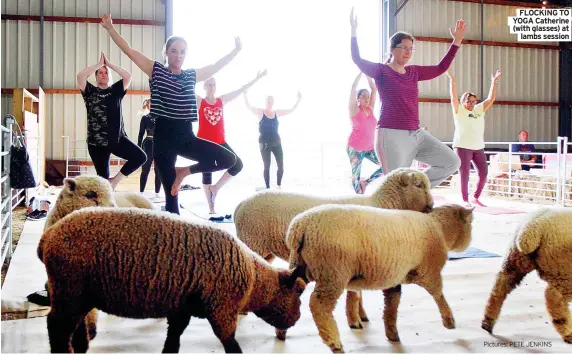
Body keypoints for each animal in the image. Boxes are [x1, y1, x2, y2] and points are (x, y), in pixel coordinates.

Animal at [38, 207, 306, 354]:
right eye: (298, 293)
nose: (296, 320)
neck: (254, 282)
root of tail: (48, 236)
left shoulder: (182, 306)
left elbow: (174, 339)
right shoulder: (222, 308)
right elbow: (229, 343)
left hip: (78, 293)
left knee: (75, 324)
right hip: (69, 288)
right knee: (57, 326)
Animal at [232, 167, 434, 328]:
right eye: (419, 185)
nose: (432, 206)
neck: (381, 203)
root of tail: (240, 204)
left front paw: (362, 315)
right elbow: (355, 293)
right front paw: (355, 321)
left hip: (263, 249)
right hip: (252, 241)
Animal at [286, 203, 474, 352]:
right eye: (470, 223)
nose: (469, 243)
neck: (439, 228)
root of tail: (299, 227)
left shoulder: (395, 277)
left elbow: (392, 304)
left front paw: (392, 333)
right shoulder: (429, 272)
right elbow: (438, 294)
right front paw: (449, 320)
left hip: (308, 267)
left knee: (290, 288)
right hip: (332, 272)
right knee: (318, 305)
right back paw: (334, 342)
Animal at [482, 207, 572, 342]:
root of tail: (533, 227)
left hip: (516, 259)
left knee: (500, 286)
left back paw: (488, 322)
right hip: (563, 270)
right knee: (553, 297)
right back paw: (567, 332)